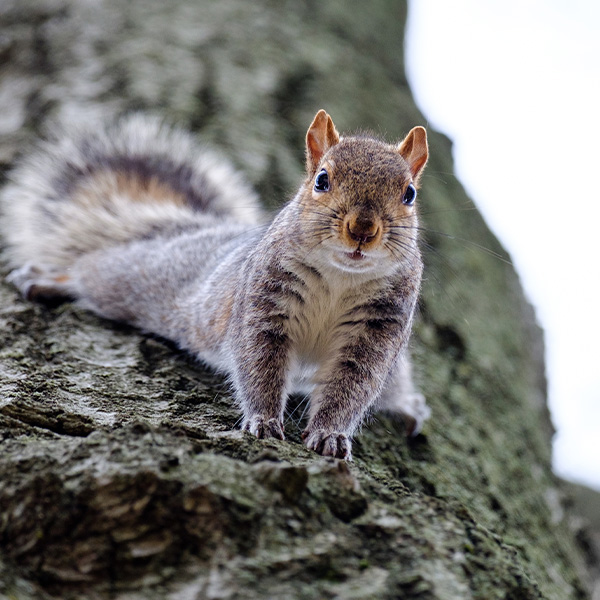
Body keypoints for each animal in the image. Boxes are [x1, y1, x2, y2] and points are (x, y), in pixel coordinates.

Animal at [0, 109, 432, 460]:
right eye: (322, 180)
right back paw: (49, 279)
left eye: (410, 194)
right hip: (135, 277)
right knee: (91, 270)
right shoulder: (264, 303)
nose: (363, 229)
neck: (342, 276)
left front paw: (329, 435)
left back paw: (407, 407)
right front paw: (264, 421)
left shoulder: (378, 330)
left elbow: (352, 386)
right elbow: (259, 364)